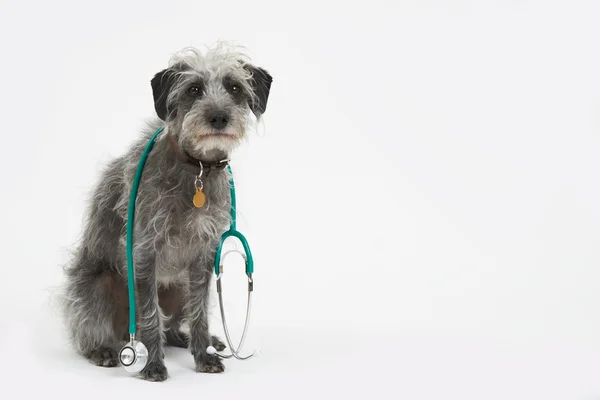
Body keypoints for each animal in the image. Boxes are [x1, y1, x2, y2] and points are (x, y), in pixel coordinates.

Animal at [62, 43, 274, 382]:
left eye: (234, 87)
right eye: (194, 88)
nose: (218, 117)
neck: (196, 168)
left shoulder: (203, 257)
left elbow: (199, 313)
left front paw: (203, 354)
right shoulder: (145, 252)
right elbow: (150, 316)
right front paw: (152, 364)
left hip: (179, 286)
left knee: (175, 323)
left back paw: (194, 339)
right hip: (99, 286)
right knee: (89, 330)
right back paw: (103, 349)